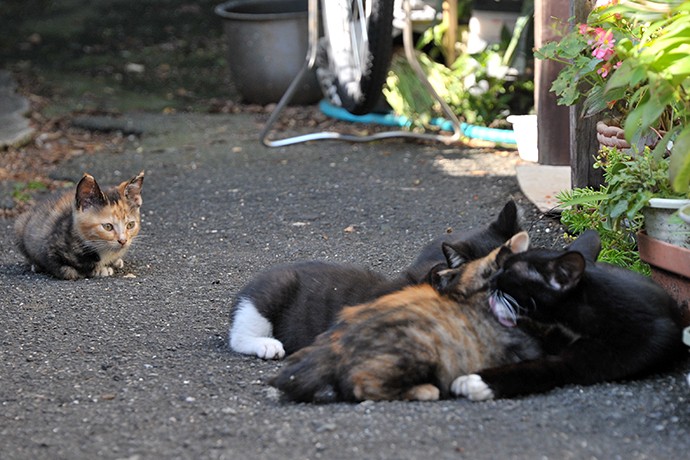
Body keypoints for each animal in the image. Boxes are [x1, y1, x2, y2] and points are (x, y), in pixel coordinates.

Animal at [14, 172, 144, 280]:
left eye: (130, 225)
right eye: (108, 226)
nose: (123, 241)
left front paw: (112, 263)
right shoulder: (48, 249)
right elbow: (67, 271)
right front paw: (97, 270)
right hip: (20, 225)